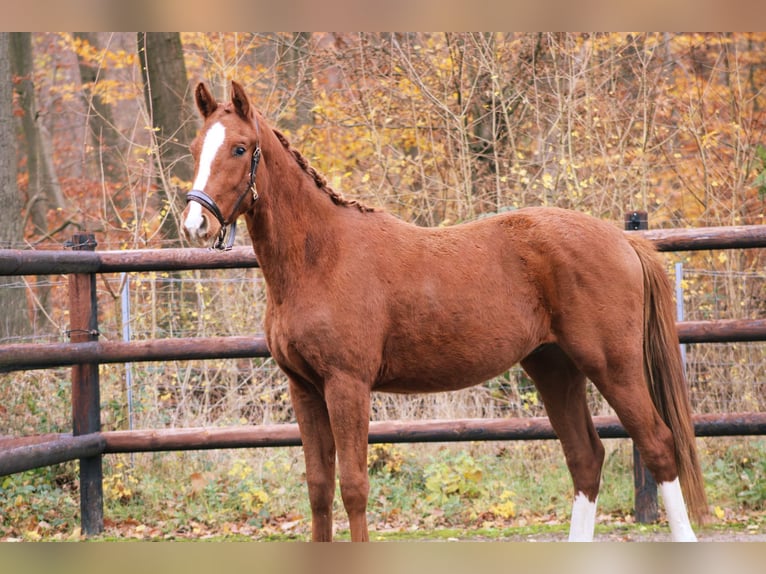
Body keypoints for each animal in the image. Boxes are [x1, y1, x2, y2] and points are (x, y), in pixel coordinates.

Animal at [182, 82, 708, 544]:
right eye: (195, 147)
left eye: (239, 148)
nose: (195, 223)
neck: (320, 257)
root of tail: (624, 239)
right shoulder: (305, 389)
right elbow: (318, 489)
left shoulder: (347, 385)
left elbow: (353, 487)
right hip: (554, 366)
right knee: (585, 458)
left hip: (613, 366)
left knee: (658, 446)